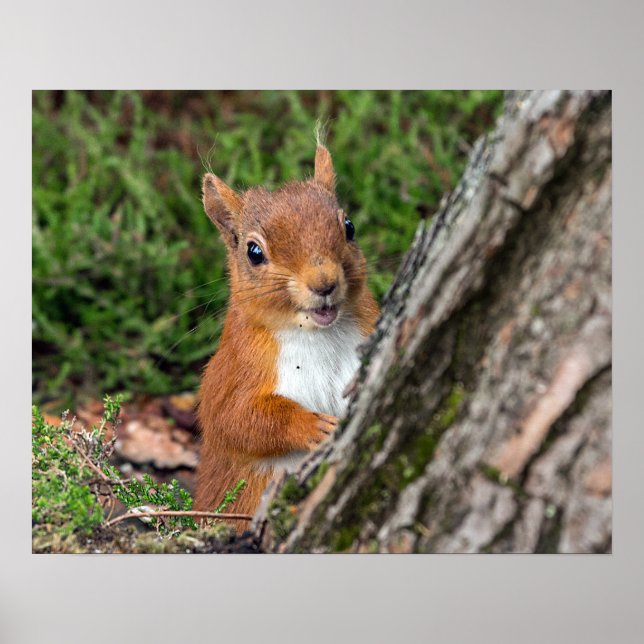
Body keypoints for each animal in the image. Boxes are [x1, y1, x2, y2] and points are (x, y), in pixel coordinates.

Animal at [194, 144, 379, 530]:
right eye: (254, 252)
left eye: (349, 227)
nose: (324, 283)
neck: (317, 334)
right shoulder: (234, 369)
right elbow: (235, 419)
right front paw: (313, 426)